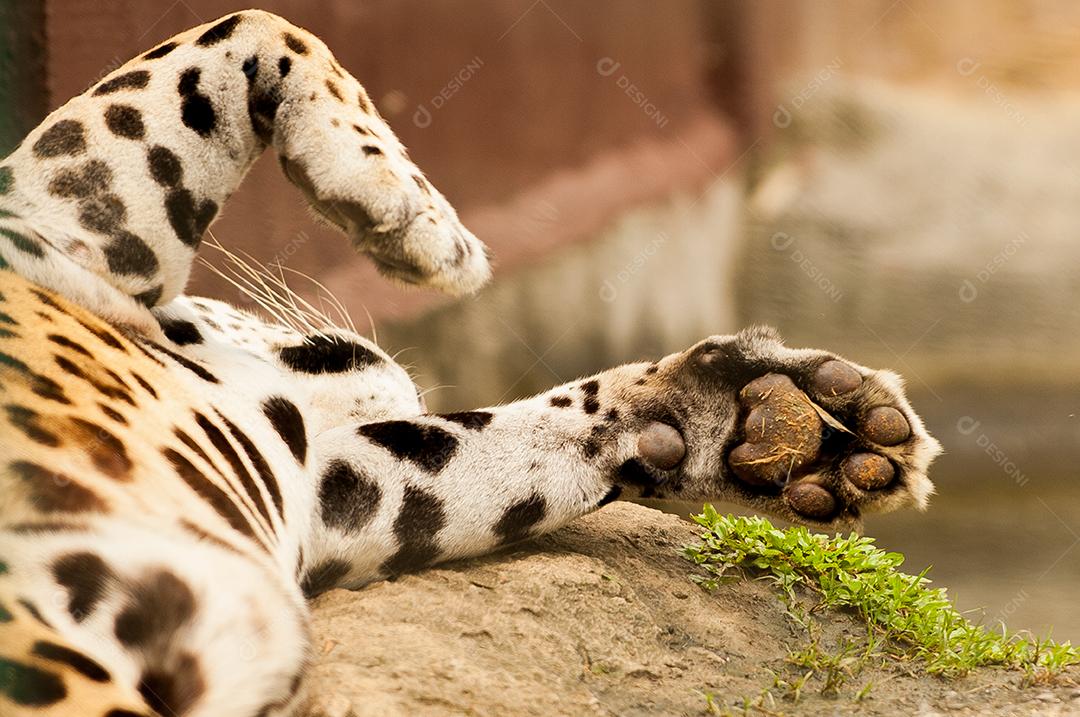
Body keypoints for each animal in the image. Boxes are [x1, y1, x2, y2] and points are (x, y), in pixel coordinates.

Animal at [0, 10, 941, 717]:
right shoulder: (60, 227)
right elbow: (247, 28)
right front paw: (406, 218)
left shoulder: (328, 502)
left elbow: (500, 448)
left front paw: (773, 424)